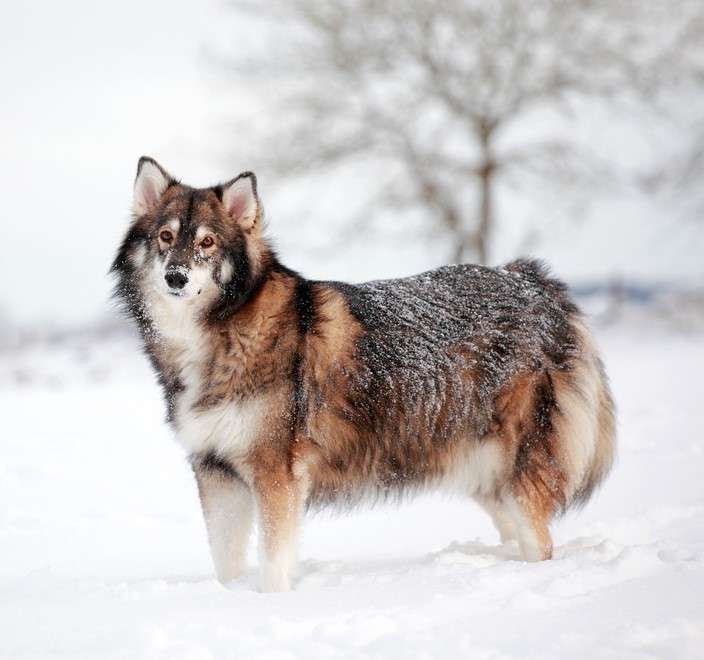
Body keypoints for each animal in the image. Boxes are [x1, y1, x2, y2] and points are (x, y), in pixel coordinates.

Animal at [111, 156, 616, 592]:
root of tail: (533, 281)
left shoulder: (275, 475)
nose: (176, 277)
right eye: (165, 236)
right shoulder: (216, 473)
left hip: (514, 474)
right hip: (484, 476)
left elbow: (273, 562)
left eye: (207, 243)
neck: (222, 332)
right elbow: (225, 562)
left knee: (542, 544)